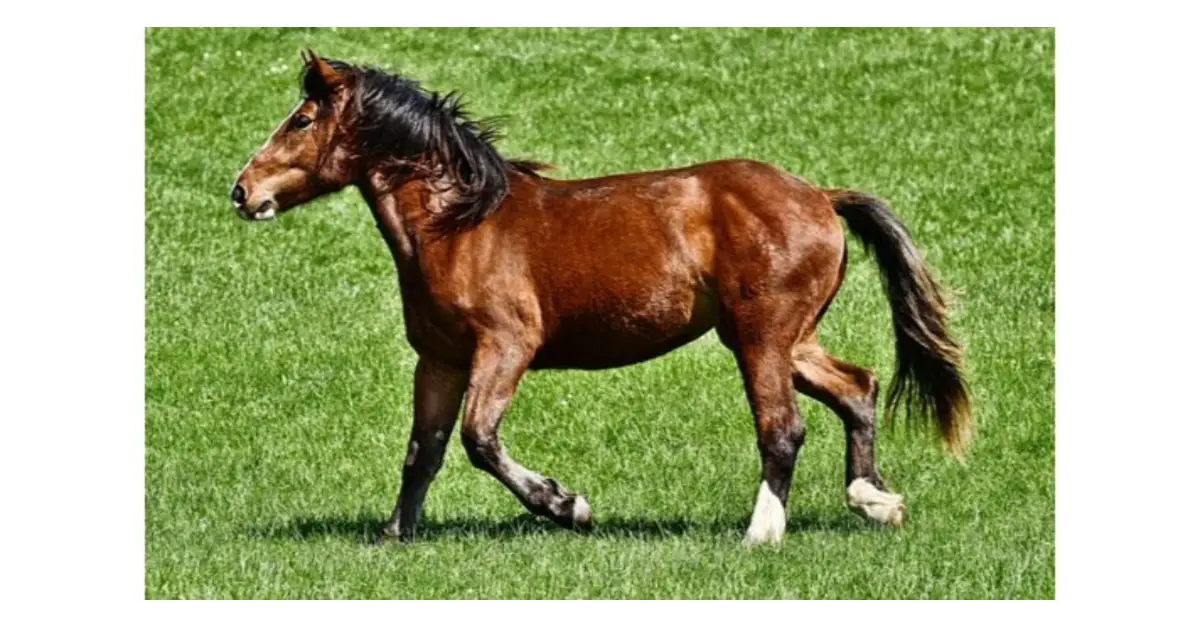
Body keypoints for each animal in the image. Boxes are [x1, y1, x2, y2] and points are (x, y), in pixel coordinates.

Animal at [230, 51, 971, 546]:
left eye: (301, 121)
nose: (242, 191)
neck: (460, 225)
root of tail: (819, 195)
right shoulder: (438, 360)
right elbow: (425, 450)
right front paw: (395, 533)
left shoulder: (506, 347)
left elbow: (479, 439)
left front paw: (568, 505)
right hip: (786, 338)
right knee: (858, 388)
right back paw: (875, 501)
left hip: (761, 337)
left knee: (783, 428)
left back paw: (761, 534)